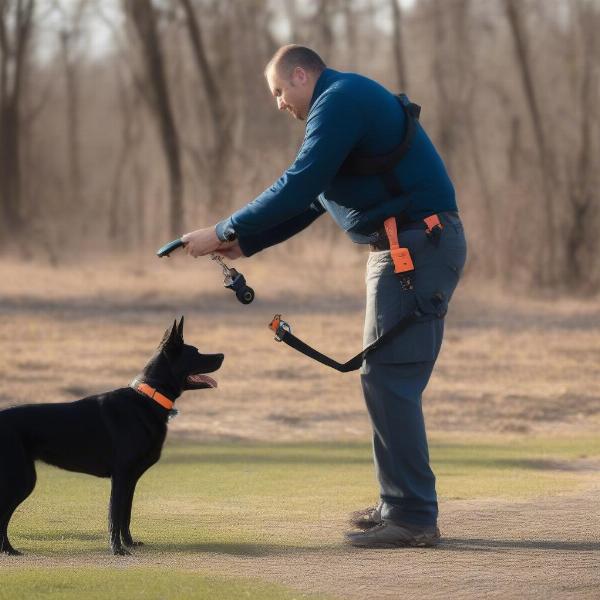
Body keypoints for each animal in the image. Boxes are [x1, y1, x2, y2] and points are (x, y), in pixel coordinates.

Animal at [0, 316, 223, 556]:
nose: (222, 355)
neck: (148, 398)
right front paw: (117, 549)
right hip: (22, 479)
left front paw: (129, 543)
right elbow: (115, 516)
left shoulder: (130, 479)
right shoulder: (121, 476)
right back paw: (8, 549)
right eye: (196, 352)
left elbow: (126, 515)